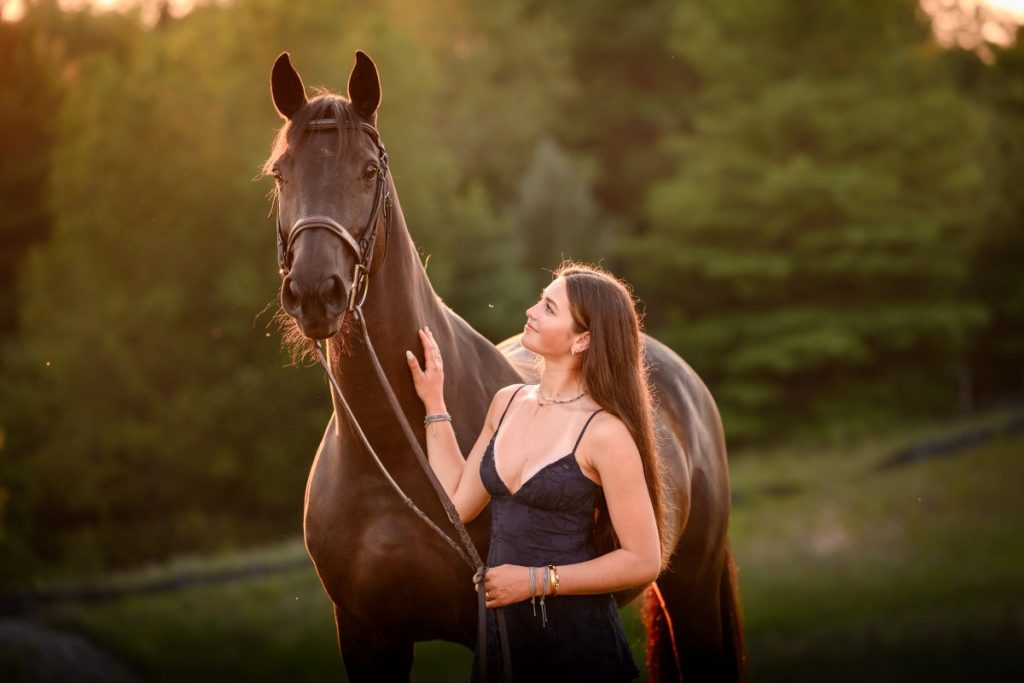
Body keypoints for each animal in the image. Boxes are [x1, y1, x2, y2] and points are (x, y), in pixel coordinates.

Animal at [264, 49, 745, 682]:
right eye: (280, 173)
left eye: (368, 171)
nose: (316, 292)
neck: (389, 461)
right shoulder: (368, 637)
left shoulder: (490, 626)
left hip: (692, 587)